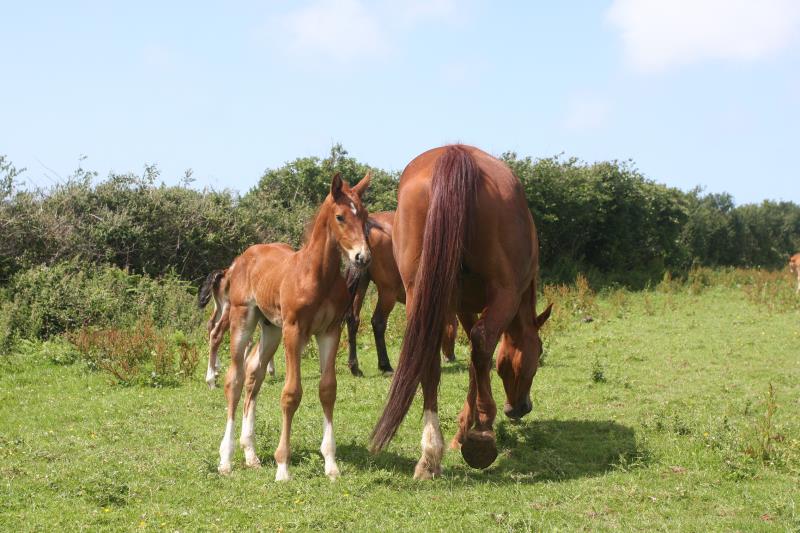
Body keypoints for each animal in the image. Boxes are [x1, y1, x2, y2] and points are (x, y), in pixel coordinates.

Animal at [205, 174, 370, 478]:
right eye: (340, 217)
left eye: (364, 215)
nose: (362, 257)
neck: (318, 275)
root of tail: (238, 261)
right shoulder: (294, 330)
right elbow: (291, 393)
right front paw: (283, 465)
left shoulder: (330, 331)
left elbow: (328, 390)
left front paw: (331, 464)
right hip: (243, 320)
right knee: (234, 379)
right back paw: (226, 459)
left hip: (271, 328)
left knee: (254, 373)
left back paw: (251, 453)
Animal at [346, 210, 460, 376]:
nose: (451, 357)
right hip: (387, 292)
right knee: (378, 322)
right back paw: (385, 365)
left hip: (362, 282)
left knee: (353, 320)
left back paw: (354, 367)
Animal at [368, 145, 552, 478]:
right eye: (539, 351)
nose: (519, 408)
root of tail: (455, 154)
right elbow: (480, 358)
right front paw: (472, 425)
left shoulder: (461, 306)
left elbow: (476, 361)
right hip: (502, 292)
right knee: (482, 342)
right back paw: (482, 435)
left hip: (421, 295)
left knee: (429, 358)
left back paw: (430, 454)